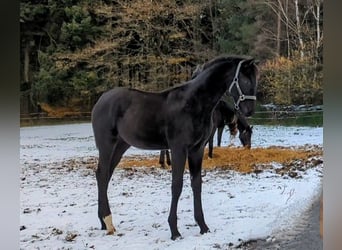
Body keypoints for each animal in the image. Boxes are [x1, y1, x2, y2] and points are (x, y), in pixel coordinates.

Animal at [92, 55, 258, 240]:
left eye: (255, 79)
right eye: (244, 79)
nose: (249, 110)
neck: (193, 103)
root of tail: (101, 99)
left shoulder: (196, 149)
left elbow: (196, 184)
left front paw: (203, 226)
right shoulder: (179, 149)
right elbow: (176, 185)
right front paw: (174, 231)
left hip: (121, 146)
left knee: (105, 176)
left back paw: (103, 221)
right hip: (107, 145)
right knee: (102, 174)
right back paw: (108, 221)